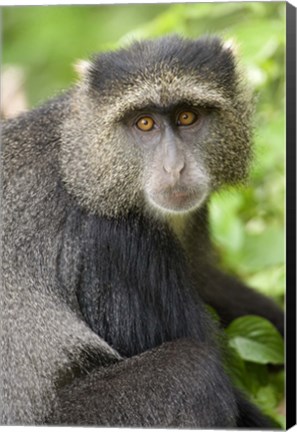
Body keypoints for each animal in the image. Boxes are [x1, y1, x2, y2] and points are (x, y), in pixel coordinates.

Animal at [0, 35, 282, 426]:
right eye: (145, 123)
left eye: (187, 117)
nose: (174, 167)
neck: (84, 160)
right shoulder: (112, 241)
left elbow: (205, 278)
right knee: (192, 371)